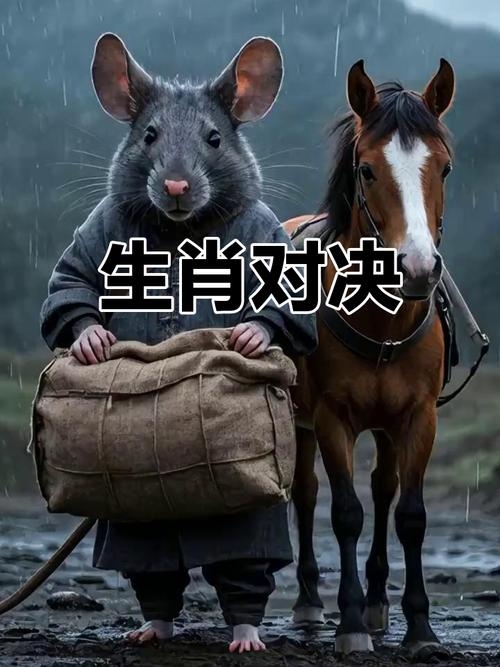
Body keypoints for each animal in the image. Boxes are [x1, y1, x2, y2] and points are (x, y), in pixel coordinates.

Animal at [284, 58, 455, 658]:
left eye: (445, 169)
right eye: (367, 170)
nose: (418, 268)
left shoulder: (419, 417)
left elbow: (410, 515)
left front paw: (420, 627)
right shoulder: (331, 418)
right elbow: (344, 513)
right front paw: (351, 622)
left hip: (386, 424)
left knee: (384, 490)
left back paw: (381, 599)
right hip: (299, 419)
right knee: (307, 495)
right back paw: (311, 600)